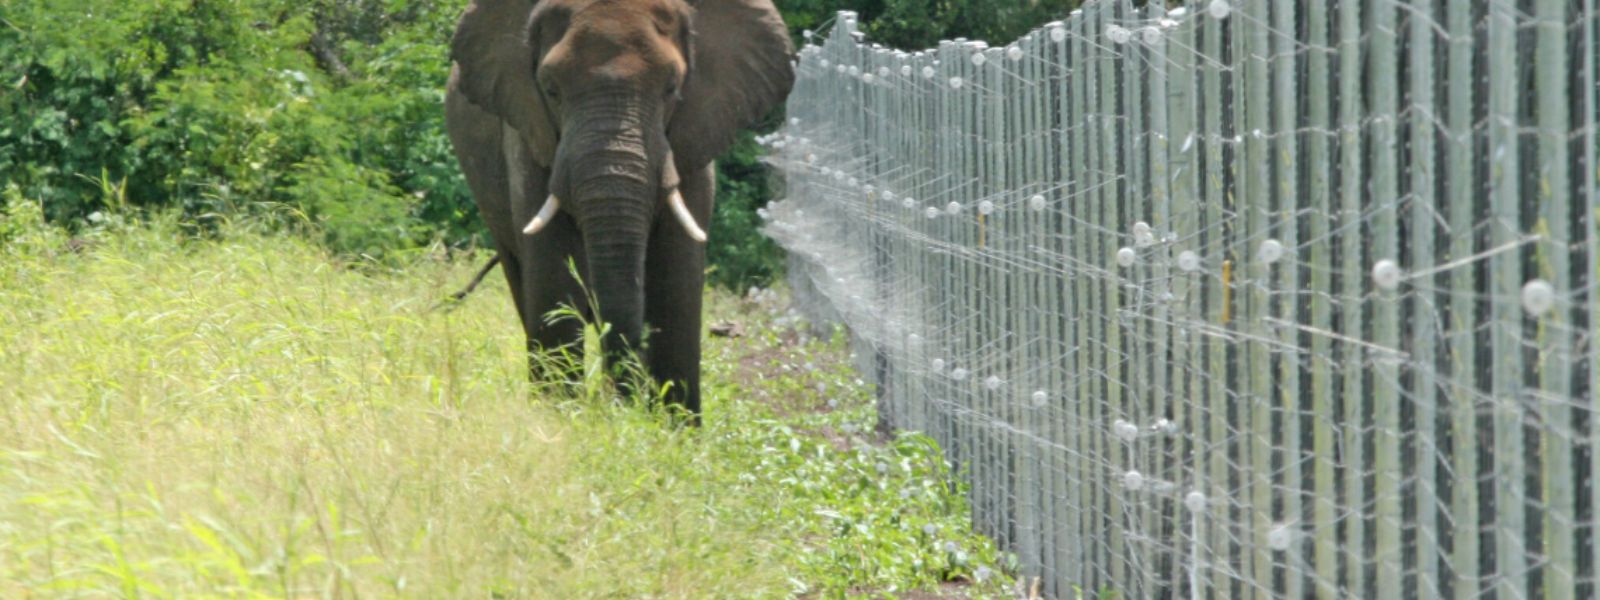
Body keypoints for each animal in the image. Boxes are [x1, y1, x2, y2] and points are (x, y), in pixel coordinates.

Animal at [444, 0, 793, 419]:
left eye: (672, 88)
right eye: (551, 89)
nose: (619, 405)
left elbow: (676, 280)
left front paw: (675, 429)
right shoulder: (528, 135)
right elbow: (553, 275)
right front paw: (560, 418)